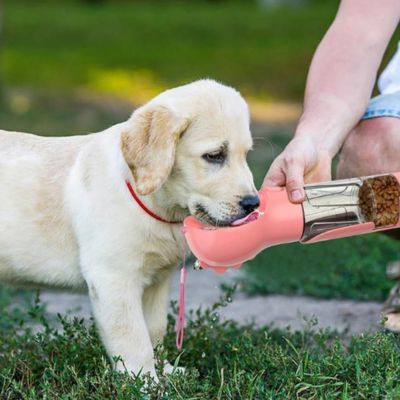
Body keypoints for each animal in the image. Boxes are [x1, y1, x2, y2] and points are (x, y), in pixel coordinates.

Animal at [0, 79, 258, 380]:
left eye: (246, 155)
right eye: (215, 156)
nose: (253, 204)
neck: (156, 205)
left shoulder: (157, 281)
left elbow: (155, 331)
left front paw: (165, 371)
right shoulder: (114, 279)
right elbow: (134, 339)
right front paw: (144, 382)